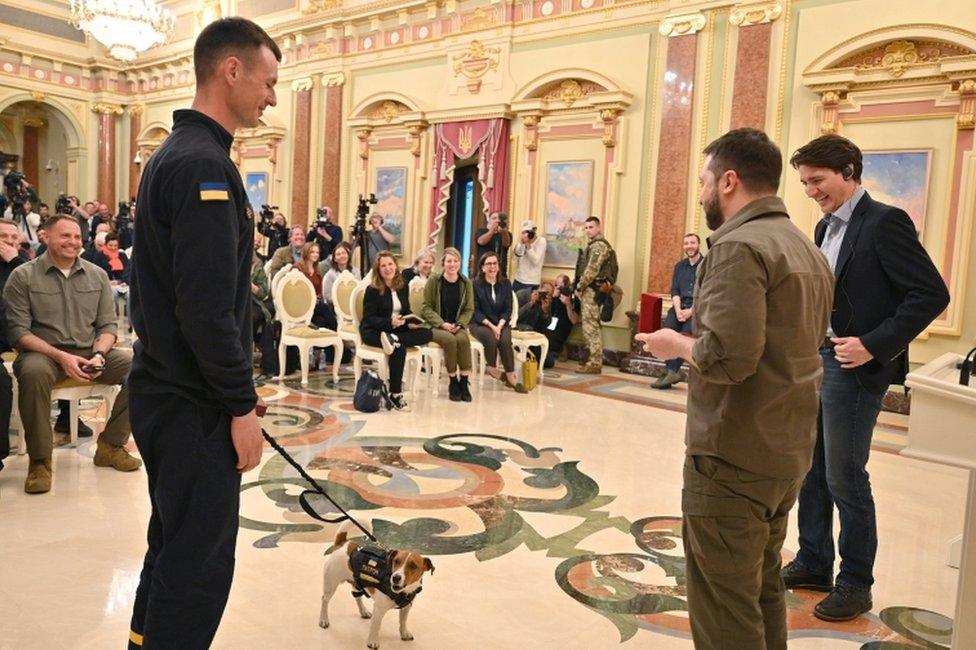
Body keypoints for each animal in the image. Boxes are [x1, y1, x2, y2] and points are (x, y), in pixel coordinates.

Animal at [320, 520, 434, 648]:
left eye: (413, 566)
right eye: (396, 561)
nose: (396, 578)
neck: (402, 592)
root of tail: (344, 544)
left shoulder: (406, 608)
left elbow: (403, 621)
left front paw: (404, 633)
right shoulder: (379, 609)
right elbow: (375, 627)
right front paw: (373, 641)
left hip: (357, 583)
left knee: (357, 597)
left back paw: (363, 611)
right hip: (331, 585)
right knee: (325, 600)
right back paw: (323, 619)